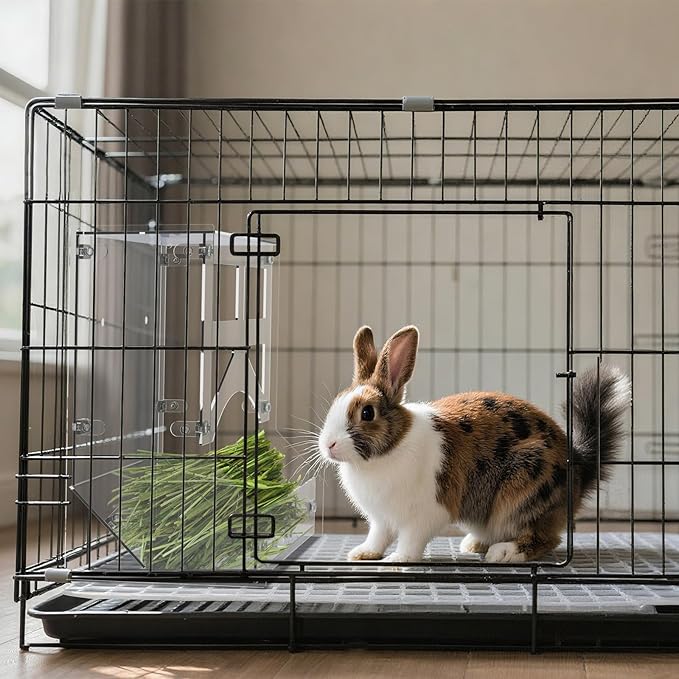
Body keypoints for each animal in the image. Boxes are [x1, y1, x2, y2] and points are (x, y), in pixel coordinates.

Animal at [317, 325, 630, 564]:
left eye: (367, 413)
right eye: (336, 402)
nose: (328, 445)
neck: (389, 450)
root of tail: (579, 468)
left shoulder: (426, 513)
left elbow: (411, 540)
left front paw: (398, 561)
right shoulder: (381, 520)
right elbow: (378, 537)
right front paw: (362, 554)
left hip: (525, 491)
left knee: (546, 538)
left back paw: (503, 553)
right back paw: (474, 545)